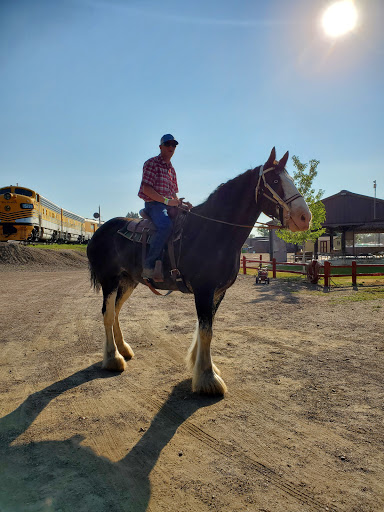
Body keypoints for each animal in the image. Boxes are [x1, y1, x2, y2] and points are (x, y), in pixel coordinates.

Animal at [86, 148, 308, 396]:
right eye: (276, 181)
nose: (305, 217)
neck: (212, 230)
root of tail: (99, 232)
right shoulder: (204, 290)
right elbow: (206, 332)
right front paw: (208, 379)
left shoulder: (218, 292)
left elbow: (205, 328)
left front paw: (201, 366)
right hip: (110, 281)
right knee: (107, 313)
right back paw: (113, 358)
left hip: (127, 282)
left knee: (115, 312)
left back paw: (123, 349)